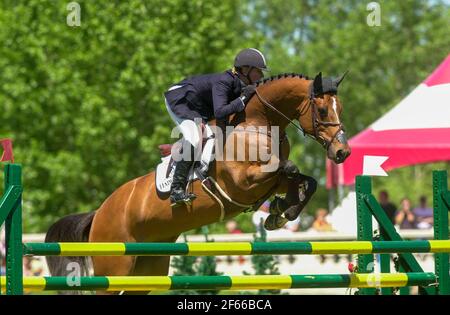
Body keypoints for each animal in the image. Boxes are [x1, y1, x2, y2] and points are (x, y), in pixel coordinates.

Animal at [44, 71, 350, 294]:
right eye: (323, 111)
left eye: (340, 108)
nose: (342, 152)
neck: (256, 123)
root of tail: (99, 212)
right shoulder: (242, 182)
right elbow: (289, 168)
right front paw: (280, 210)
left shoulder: (270, 180)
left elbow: (304, 180)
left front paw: (281, 212)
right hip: (115, 268)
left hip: (147, 269)